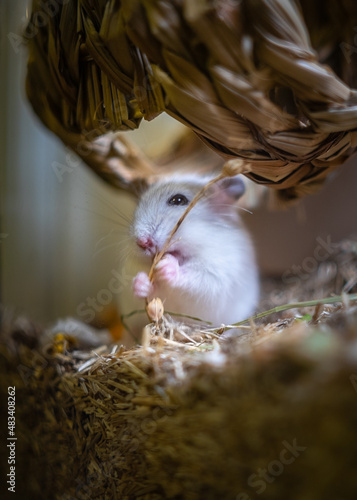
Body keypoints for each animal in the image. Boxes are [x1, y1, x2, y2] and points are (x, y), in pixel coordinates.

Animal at [131, 174, 258, 326]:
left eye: (178, 200)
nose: (142, 242)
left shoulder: (217, 274)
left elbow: (196, 278)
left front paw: (166, 265)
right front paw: (140, 282)